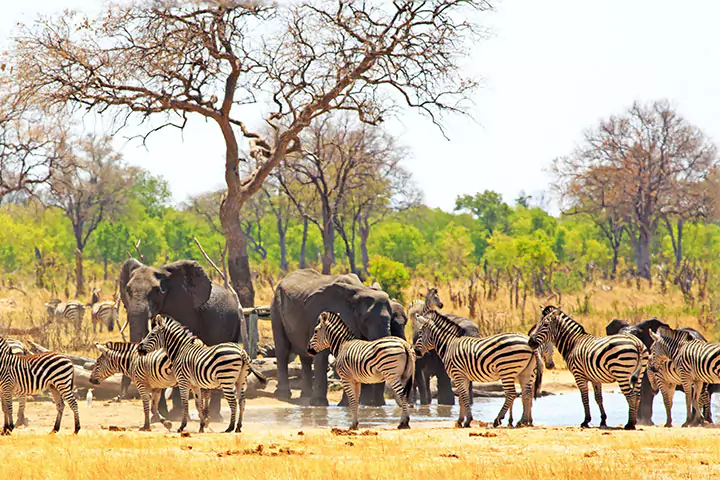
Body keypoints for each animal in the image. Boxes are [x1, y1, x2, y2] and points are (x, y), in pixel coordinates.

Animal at [119, 258, 240, 420]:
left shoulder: (184, 312)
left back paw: (214, 416)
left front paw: (174, 415)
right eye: (128, 290)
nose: (120, 396)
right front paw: (161, 415)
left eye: (158, 291)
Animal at [138, 316, 268, 434]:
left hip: (226, 380)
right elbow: (198, 404)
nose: (139, 349)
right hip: (240, 380)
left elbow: (185, 403)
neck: (180, 350)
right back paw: (238, 427)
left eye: (152, 335)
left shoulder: (183, 381)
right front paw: (201, 426)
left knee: (233, 402)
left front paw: (182, 426)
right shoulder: (194, 385)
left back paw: (230, 428)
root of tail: (241, 351)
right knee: (242, 401)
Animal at [272, 268, 394, 406]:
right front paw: (319, 404)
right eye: (366, 319)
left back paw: (306, 395)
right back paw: (283, 395)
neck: (360, 290)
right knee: (283, 350)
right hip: (275, 308)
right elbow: (321, 355)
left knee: (305, 356)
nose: (377, 404)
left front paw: (348, 405)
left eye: (391, 317)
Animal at [410, 310, 540, 430]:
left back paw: (498, 420)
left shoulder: (458, 374)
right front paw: (461, 421)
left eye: (420, 332)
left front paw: (466, 421)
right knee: (527, 394)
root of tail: (528, 342)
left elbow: (463, 397)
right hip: (526, 372)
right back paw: (523, 421)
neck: (450, 344)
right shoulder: (464, 377)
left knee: (511, 394)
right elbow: (463, 398)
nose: (416, 351)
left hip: (506, 370)